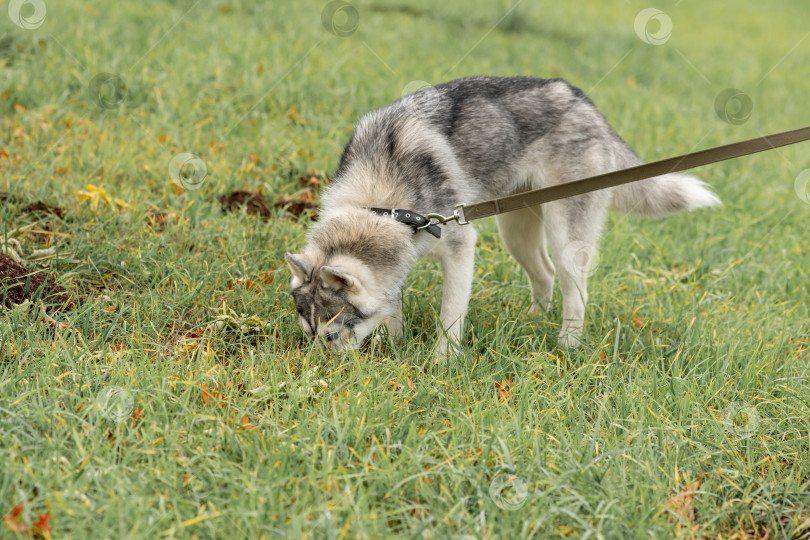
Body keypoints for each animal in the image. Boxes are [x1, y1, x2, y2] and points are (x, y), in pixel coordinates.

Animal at [286, 76, 720, 354]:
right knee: (544, 274)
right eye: (308, 333)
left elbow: (450, 316)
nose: (321, 368)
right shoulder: (401, 258)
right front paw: (395, 344)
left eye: (331, 334)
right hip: (514, 228)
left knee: (576, 291)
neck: (383, 202)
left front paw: (442, 361)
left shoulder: (460, 245)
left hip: (566, 236)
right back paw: (534, 319)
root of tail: (585, 103)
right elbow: (392, 306)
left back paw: (567, 345)